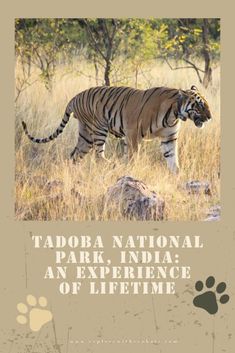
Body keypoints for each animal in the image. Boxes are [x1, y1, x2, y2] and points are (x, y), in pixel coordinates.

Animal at [22, 85, 212, 173]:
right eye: (200, 105)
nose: (210, 117)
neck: (174, 114)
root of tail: (74, 97)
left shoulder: (169, 138)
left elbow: (172, 159)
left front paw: (177, 175)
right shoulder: (133, 134)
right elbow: (133, 157)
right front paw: (131, 170)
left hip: (85, 135)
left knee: (75, 154)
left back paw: (73, 171)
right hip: (98, 129)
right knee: (98, 156)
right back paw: (113, 164)